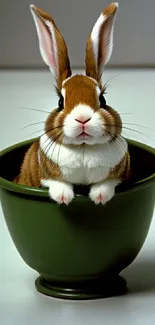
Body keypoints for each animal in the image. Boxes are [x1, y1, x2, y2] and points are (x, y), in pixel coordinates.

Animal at [14, 2, 131, 204]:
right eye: (60, 101)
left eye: (103, 99)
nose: (82, 118)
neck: (84, 147)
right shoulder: (46, 176)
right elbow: (56, 183)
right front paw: (63, 197)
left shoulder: (118, 175)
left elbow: (108, 183)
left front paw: (100, 196)